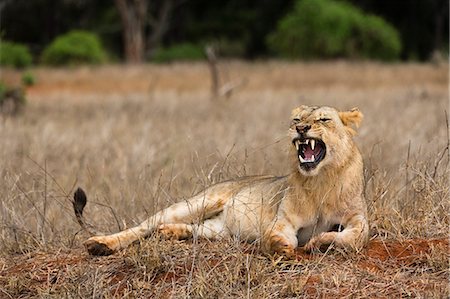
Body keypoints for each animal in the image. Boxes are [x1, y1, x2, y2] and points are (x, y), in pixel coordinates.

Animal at [74, 105, 370, 258]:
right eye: (297, 118)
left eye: (323, 119)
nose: (300, 128)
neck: (321, 181)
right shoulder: (283, 219)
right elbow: (277, 235)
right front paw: (283, 246)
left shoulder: (358, 218)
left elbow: (354, 237)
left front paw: (322, 242)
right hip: (199, 201)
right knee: (143, 226)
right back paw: (100, 244)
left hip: (219, 229)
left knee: (195, 229)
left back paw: (170, 232)